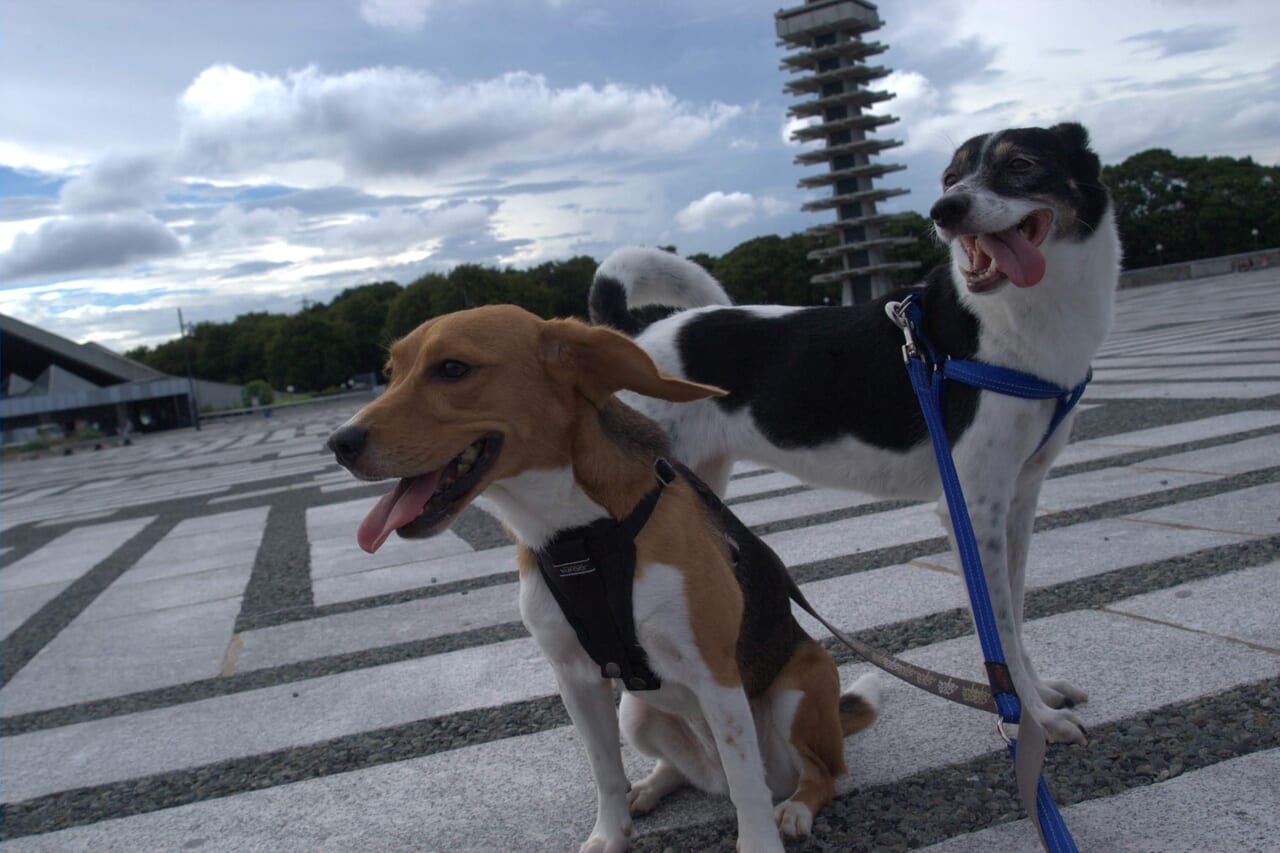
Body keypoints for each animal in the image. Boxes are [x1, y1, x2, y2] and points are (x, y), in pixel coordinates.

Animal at [327, 306, 880, 850]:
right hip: (635, 712)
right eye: (391, 372)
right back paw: (651, 788)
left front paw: (759, 843)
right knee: (690, 772)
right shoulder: (575, 678)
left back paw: (795, 809)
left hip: (802, 687)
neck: (577, 536)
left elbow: (748, 790)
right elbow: (605, 771)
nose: (339, 443)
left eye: (452, 368)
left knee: (817, 774)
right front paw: (610, 836)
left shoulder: (716, 674)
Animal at [588, 121, 1121, 742]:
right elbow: (1002, 630)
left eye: (1021, 165)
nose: (945, 210)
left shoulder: (1019, 497)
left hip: (697, 483)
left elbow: (1015, 610)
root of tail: (631, 340)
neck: (1014, 323)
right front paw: (1033, 721)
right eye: (950, 177)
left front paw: (1039, 698)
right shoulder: (973, 506)